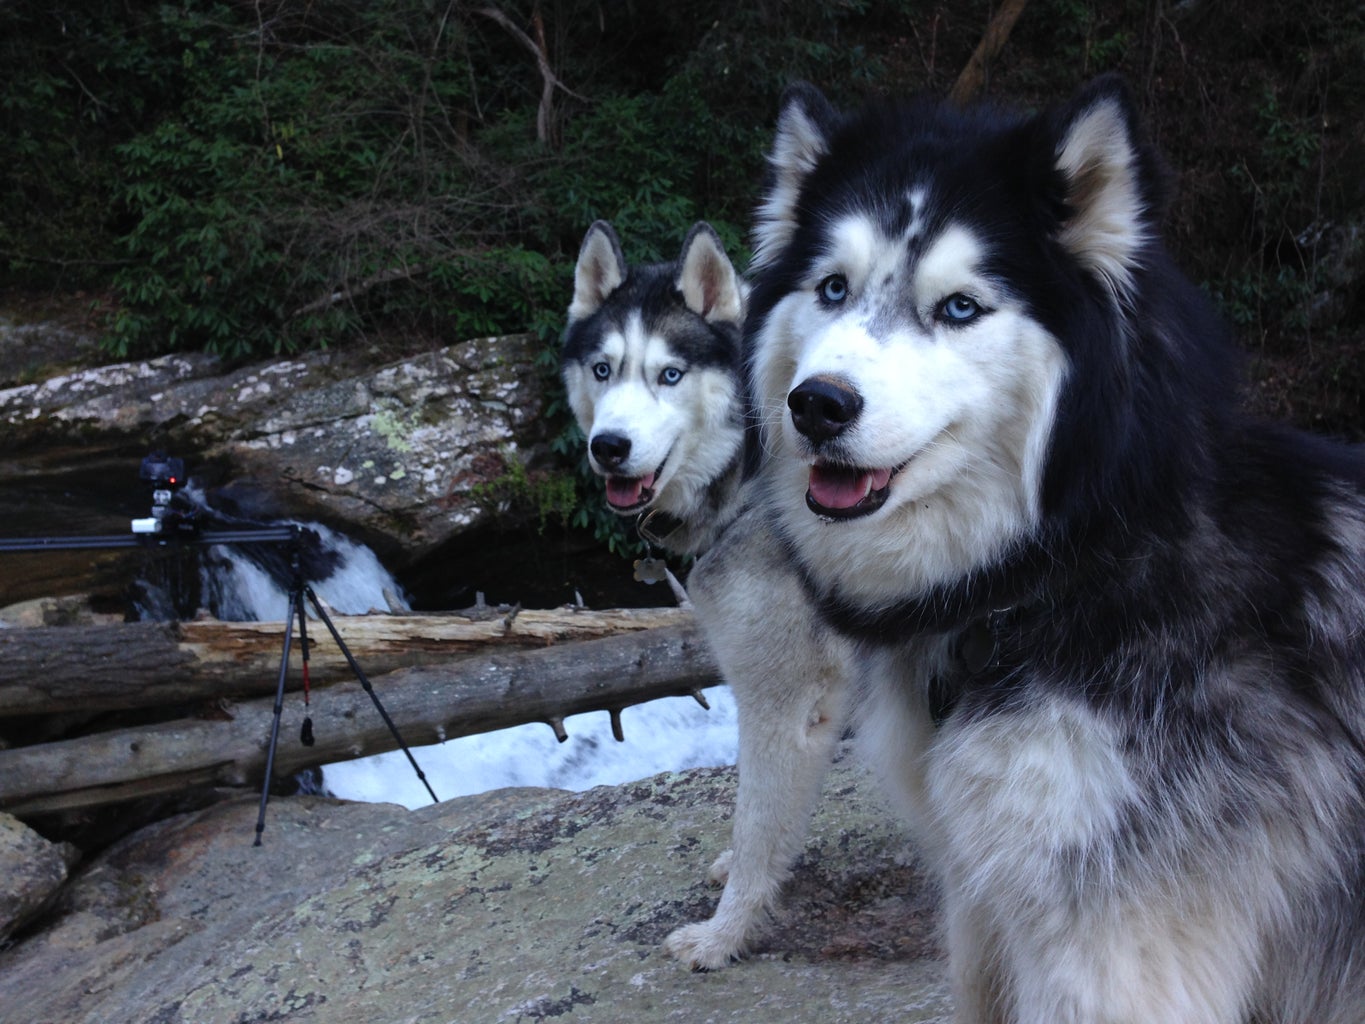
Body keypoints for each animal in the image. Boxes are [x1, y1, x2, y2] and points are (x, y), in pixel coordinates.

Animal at [663, 74, 1365, 1024]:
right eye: (832, 288)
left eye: (959, 307)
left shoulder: (1115, 945)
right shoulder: (983, 898)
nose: (817, 404)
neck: (1061, 562)